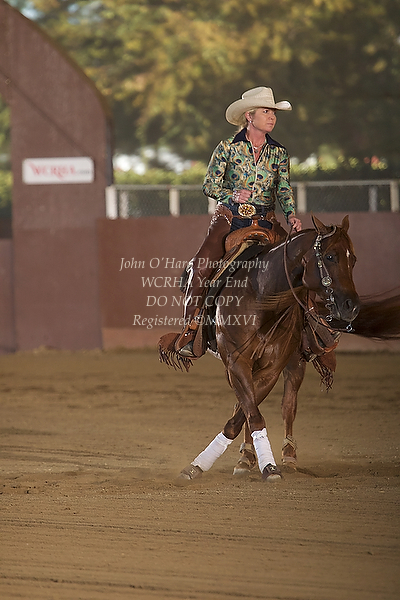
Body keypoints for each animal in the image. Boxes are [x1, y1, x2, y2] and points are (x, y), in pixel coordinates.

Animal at [162, 215, 399, 482]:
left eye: (354, 259)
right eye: (330, 256)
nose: (351, 306)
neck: (261, 295)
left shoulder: (272, 368)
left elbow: (247, 413)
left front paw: (268, 464)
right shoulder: (236, 361)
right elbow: (250, 413)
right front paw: (201, 464)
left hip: (295, 362)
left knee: (288, 406)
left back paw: (287, 456)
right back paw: (246, 458)